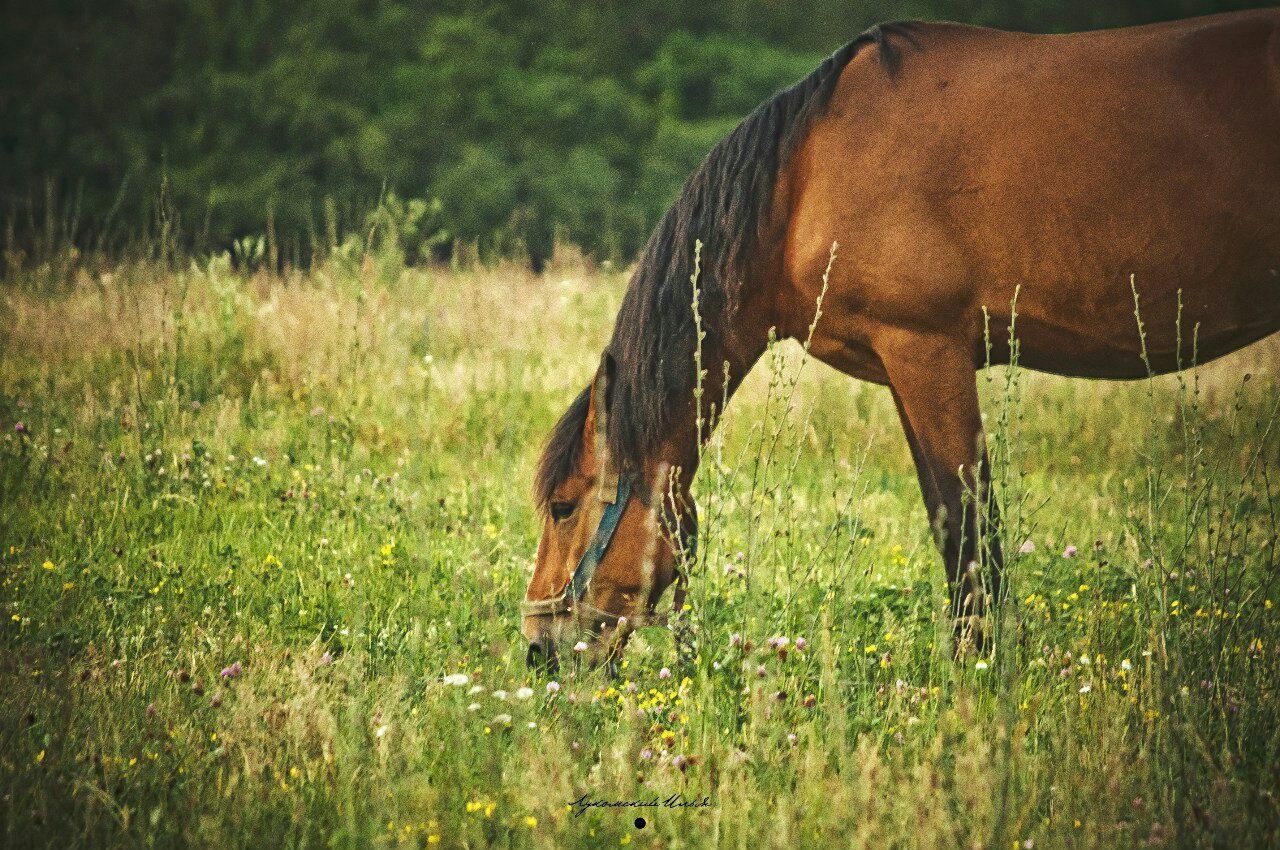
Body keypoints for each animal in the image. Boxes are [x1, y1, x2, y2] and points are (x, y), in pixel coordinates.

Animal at [517, 8, 1280, 670]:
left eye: (563, 506)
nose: (538, 649)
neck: (804, 176)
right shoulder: (904, 373)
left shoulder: (927, 352)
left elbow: (968, 526)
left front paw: (980, 674)